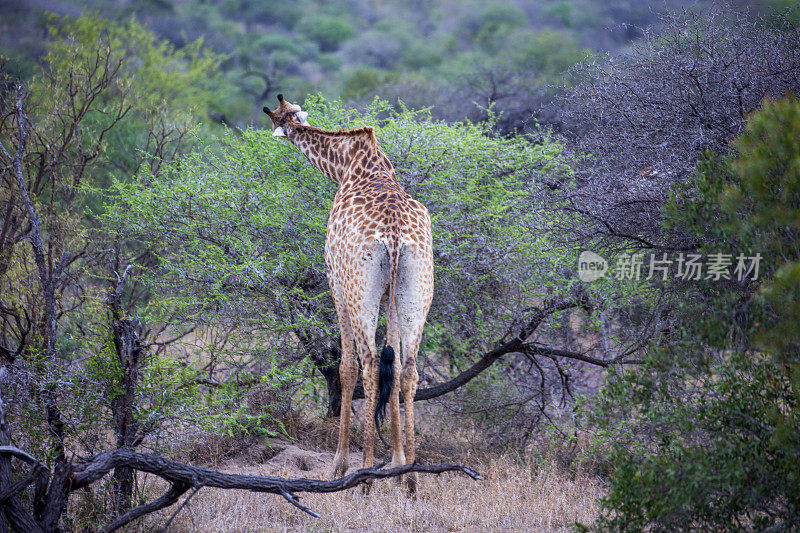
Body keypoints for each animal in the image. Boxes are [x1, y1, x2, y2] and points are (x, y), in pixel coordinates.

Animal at [264, 93, 434, 488]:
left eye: (279, 118)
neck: (347, 166)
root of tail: (394, 235)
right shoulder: (388, 299)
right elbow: (394, 364)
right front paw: (397, 462)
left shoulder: (335, 283)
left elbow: (345, 369)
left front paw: (339, 465)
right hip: (417, 290)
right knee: (408, 368)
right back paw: (410, 479)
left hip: (359, 292)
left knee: (369, 363)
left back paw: (365, 477)